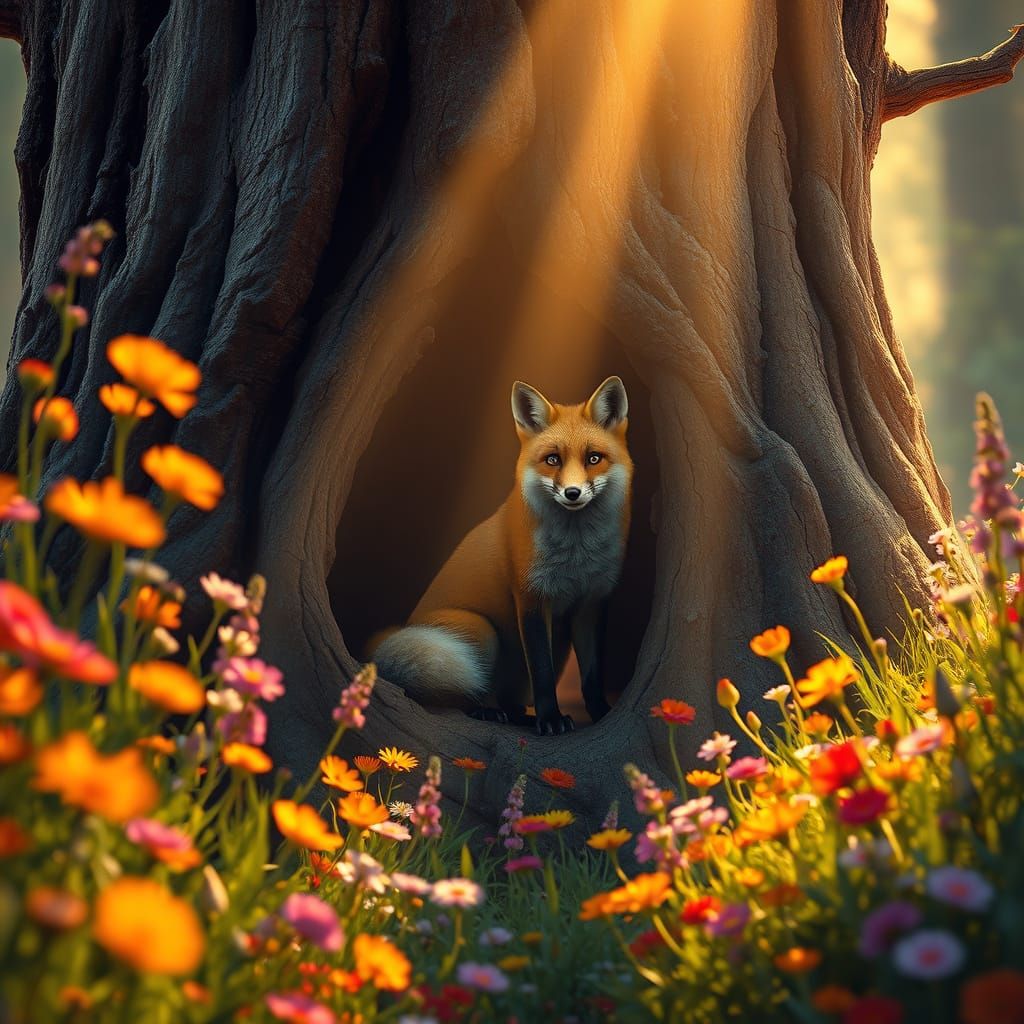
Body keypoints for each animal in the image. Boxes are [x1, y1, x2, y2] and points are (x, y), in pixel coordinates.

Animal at [368, 376, 632, 735]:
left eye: (593, 458)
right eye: (553, 460)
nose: (572, 493)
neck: (577, 555)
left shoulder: (591, 603)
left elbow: (591, 676)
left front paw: (601, 713)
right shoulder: (531, 598)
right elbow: (543, 674)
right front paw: (551, 720)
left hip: (555, 644)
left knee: (511, 698)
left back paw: (517, 714)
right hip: (481, 631)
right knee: (460, 696)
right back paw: (485, 711)